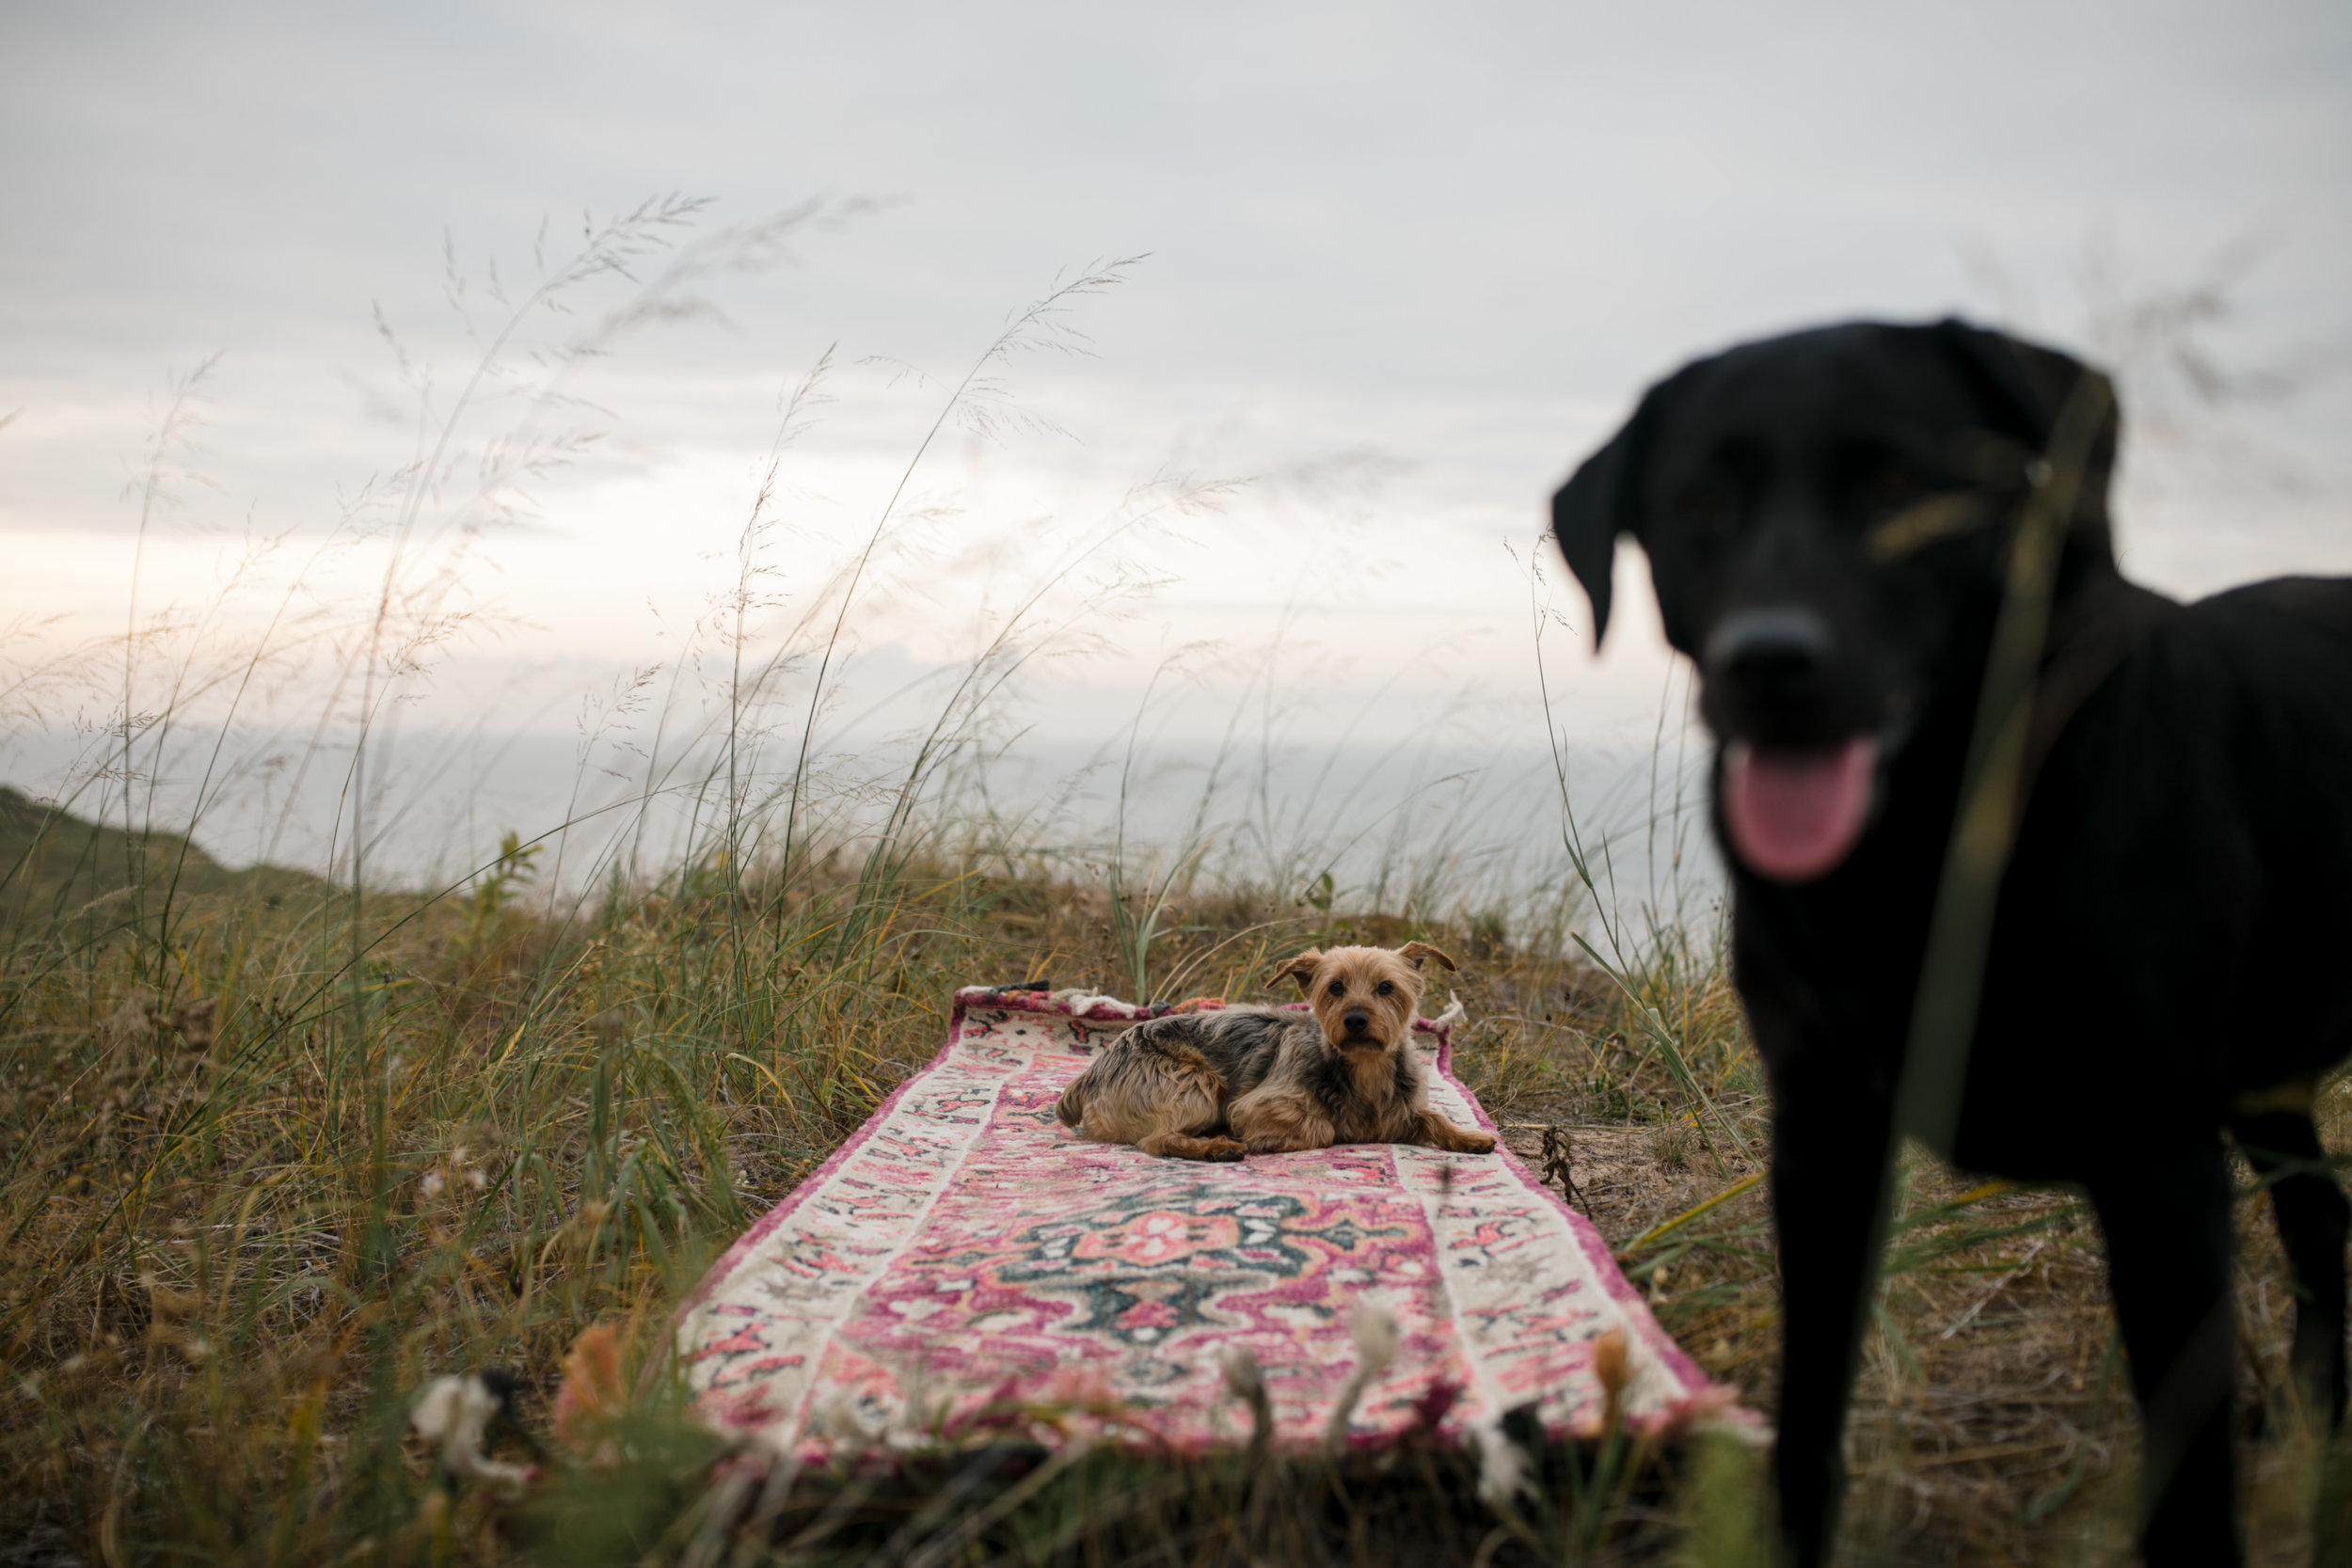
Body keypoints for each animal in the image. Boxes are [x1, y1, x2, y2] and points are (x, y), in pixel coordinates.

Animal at [1058, 940, 1496, 1161]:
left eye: (1386, 987)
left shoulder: (1403, 1108)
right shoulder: (1254, 1105)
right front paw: (1264, 1139)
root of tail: (1091, 1073)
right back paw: (1217, 1147)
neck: (1364, 1065)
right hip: (1192, 1081)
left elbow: (1431, 1116)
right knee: (1158, 1140)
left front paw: (1467, 1137)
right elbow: (1322, 1127)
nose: (1355, 1020)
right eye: (1335, 987)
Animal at [1552, 319, 2343, 1568]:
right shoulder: (1821, 1136)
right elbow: (1807, 1421)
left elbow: (2186, 1485)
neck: (1922, 847)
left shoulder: (2159, 1171)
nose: (1767, 664)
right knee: (2321, 1219)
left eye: (1901, 484)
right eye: (1695, 501)